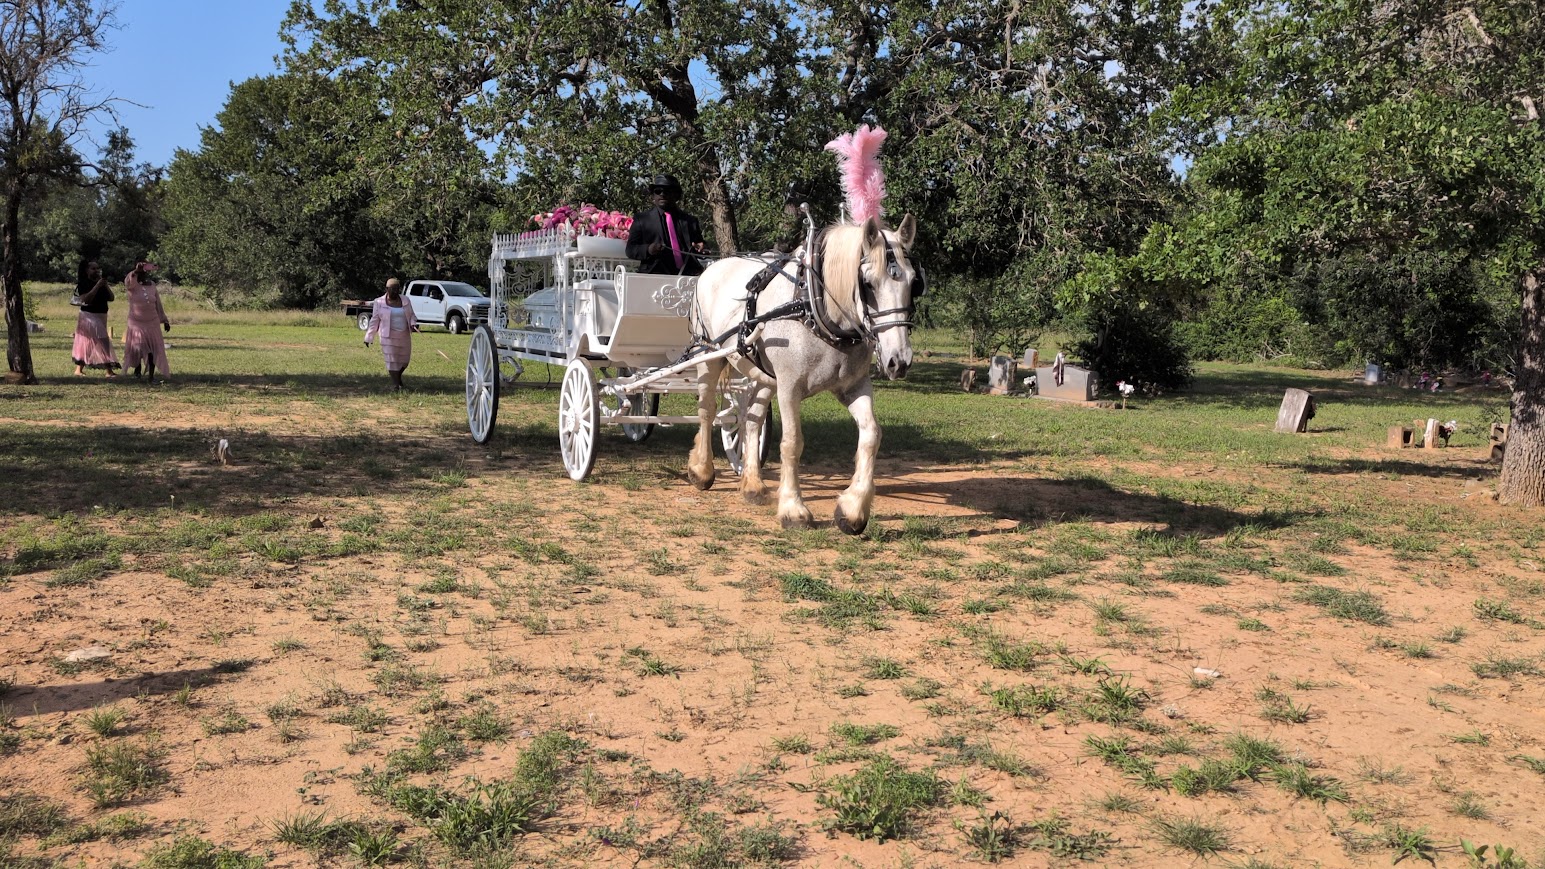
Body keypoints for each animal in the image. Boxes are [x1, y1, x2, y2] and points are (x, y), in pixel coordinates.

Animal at [686, 213, 921, 534]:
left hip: (762, 374)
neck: (812, 305)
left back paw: (753, 485)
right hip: (707, 356)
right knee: (707, 410)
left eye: (913, 282)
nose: (899, 360)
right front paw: (793, 509)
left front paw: (852, 509)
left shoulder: (854, 387)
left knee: (751, 419)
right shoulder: (789, 388)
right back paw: (701, 470)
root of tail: (712, 267)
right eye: (868, 284)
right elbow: (792, 442)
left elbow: (871, 435)